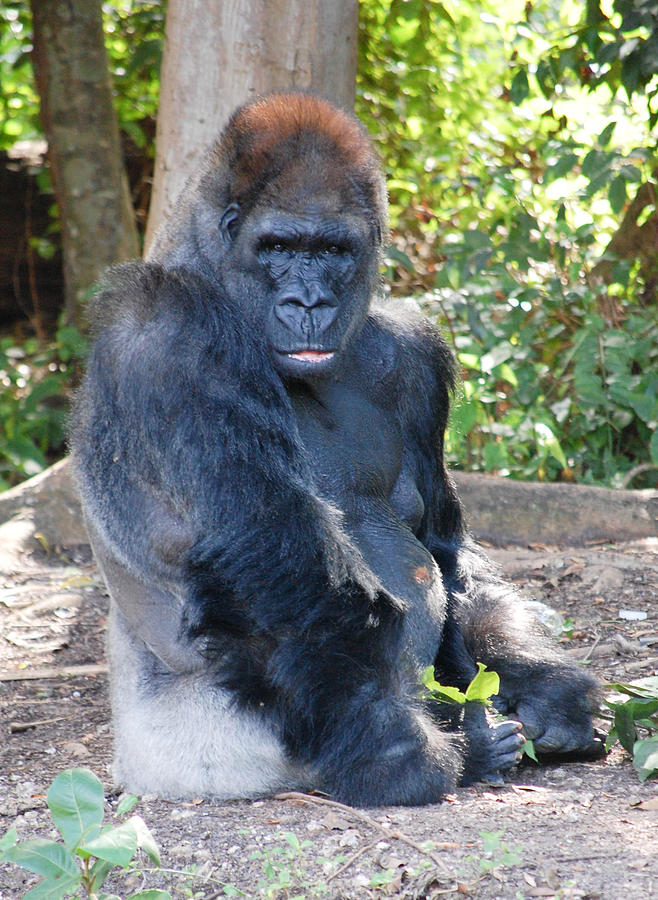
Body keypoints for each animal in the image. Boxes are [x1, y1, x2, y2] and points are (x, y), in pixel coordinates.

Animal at [70, 93, 600, 808]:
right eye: (278, 247)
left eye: (332, 249)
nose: (309, 302)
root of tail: (129, 762)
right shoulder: (172, 331)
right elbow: (274, 554)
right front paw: (396, 756)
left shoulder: (411, 352)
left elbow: (445, 549)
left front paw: (545, 685)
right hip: (193, 758)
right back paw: (459, 748)